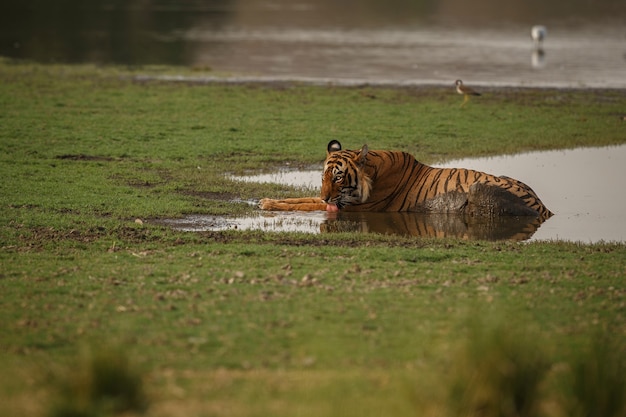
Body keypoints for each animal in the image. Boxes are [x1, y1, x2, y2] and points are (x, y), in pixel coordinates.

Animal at [258, 140, 552, 221]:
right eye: (323, 178)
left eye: (339, 177)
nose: (326, 195)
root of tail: (544, 207)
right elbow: (301, 198)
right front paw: (266, 200)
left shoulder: (351, 206)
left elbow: (307, 204)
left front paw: (268, 205)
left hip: (480, 187)